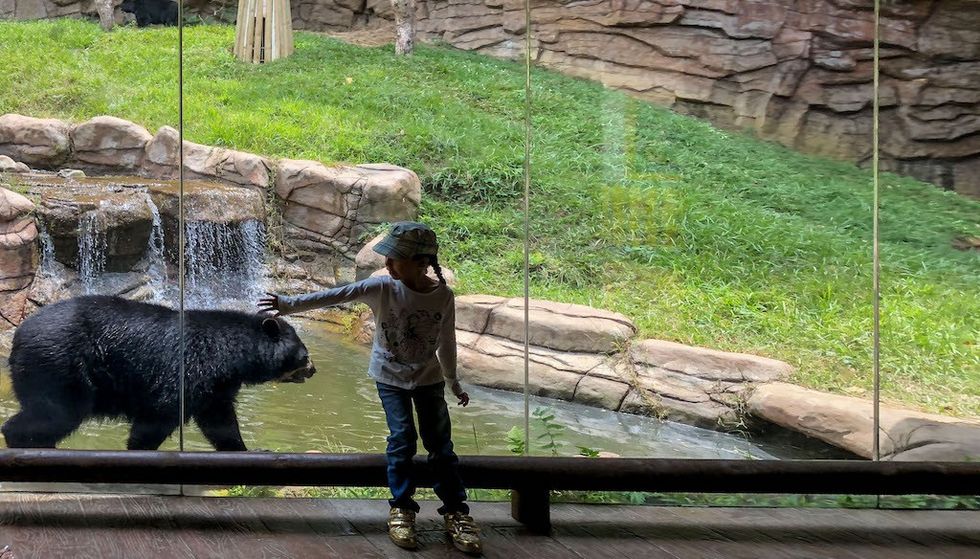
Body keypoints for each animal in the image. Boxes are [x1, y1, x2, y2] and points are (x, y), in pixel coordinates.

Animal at [2, 295, 315, 451]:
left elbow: (219, 421)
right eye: (304, 354)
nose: (313, 370)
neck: (231, 357)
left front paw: (239, 449)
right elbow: (160, 415)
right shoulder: (188, 370)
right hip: (58, 365)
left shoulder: (217, 385)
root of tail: (18, 336)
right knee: (57, 412)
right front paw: (140, 449)